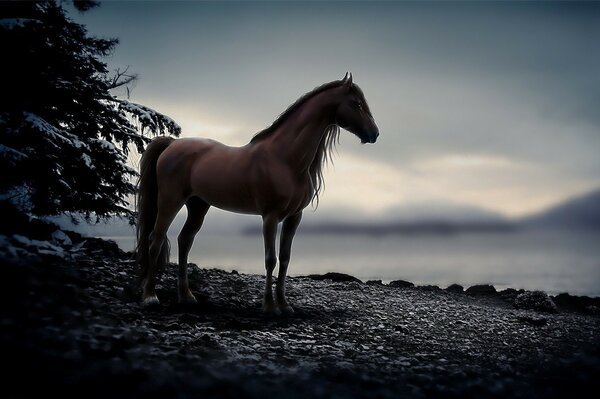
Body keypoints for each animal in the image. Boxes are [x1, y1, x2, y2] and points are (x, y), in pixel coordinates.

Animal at [136, 72, 380, 316]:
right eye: (357, 103)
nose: (374, 133)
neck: (284, 159)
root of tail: (172, 144)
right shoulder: (270, 216)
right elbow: (270, 259)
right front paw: (270, 306)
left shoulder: (294, 217)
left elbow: (285, 258)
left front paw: (284, 304)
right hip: (170, 201)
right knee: (155, 240)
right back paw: (150, 297)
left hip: (198, 206)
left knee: (185, 240)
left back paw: (186, 296)